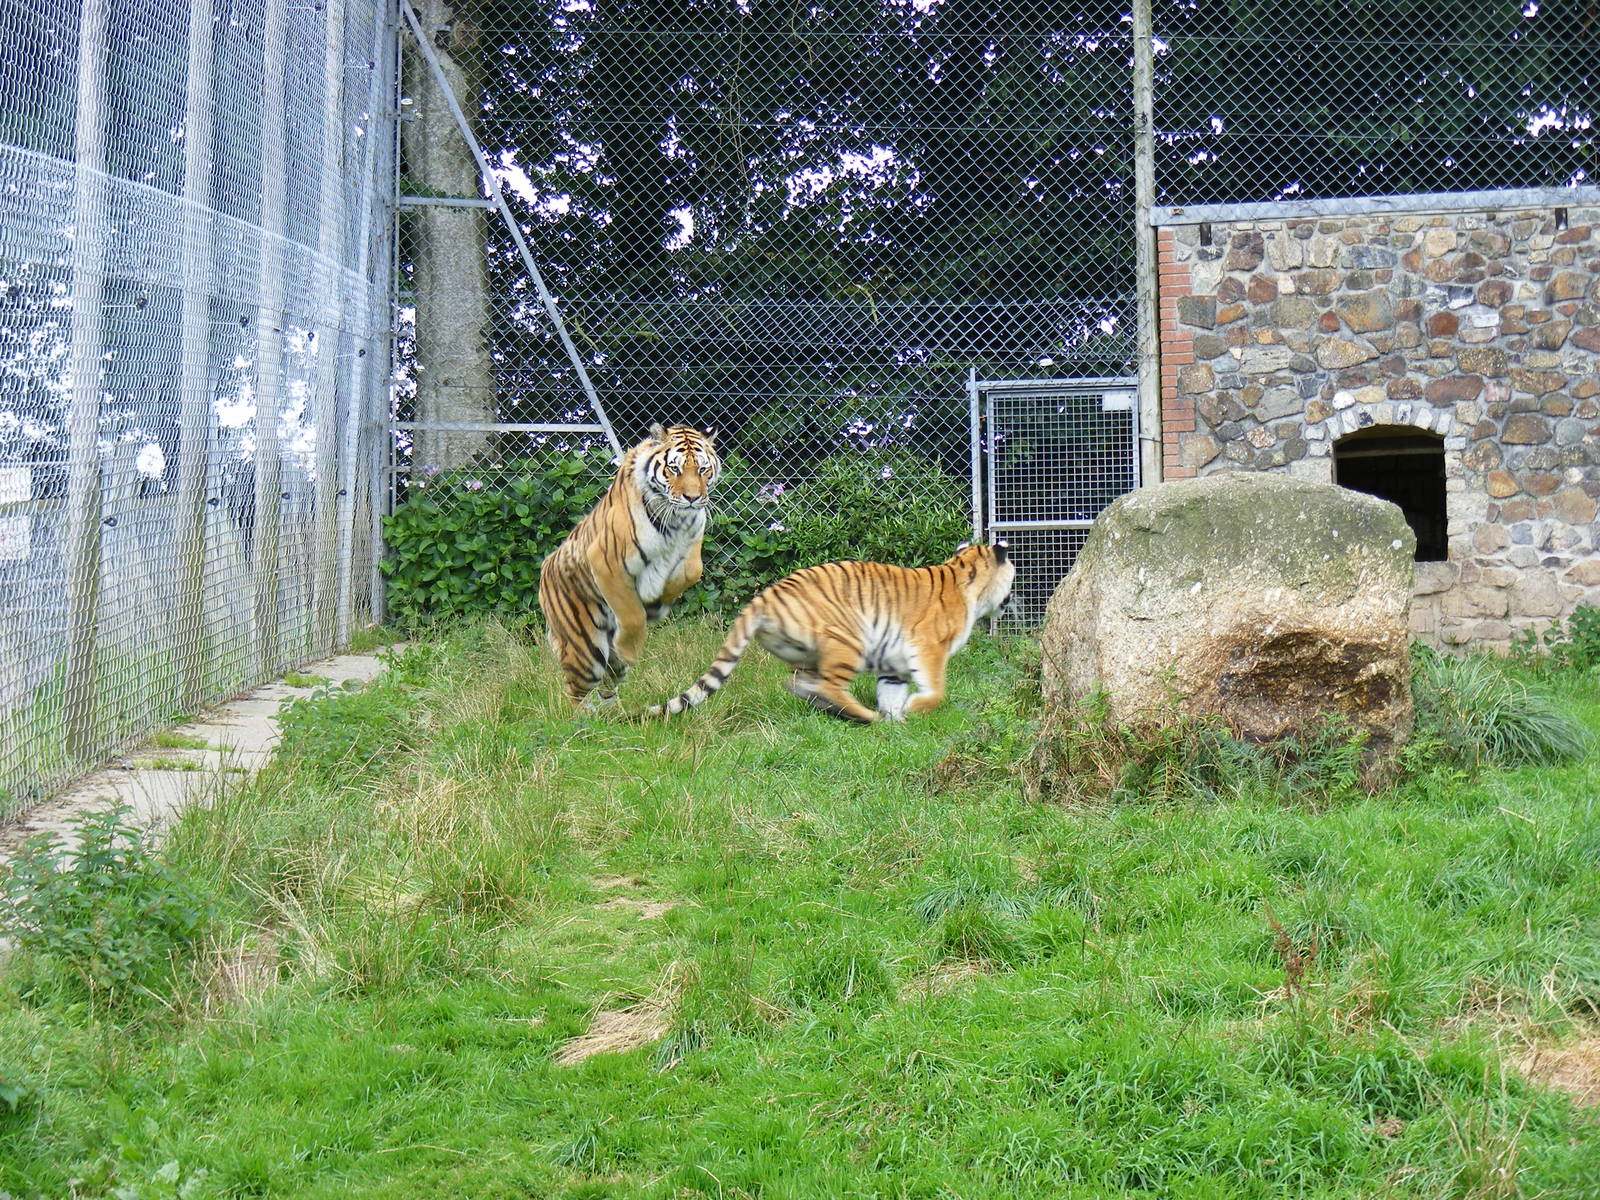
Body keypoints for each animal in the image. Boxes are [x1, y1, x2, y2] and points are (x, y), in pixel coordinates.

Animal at [538, 423, 720, 708]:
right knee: (575, 693)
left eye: (703, 469)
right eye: (674, 468)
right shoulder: (606, 561)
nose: (693, 498)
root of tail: (545, 566)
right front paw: (630, 648)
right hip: (586, 652)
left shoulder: (691, 544)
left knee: (607, 687)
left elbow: (691, 572)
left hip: (608, 668)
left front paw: (657, 603)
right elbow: (632, 614)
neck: (676, 521)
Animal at [645, 542, 1014, 723]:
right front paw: (910, 710)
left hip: (803, 652)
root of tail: (766, 595)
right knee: (830, 686)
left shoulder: (893, 664)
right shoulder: (928, 647)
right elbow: (936, 691)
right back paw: (863, 715)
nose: (1014, 598)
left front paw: (897, 719)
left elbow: (891, 693)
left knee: (801, 683)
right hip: (850, 638)